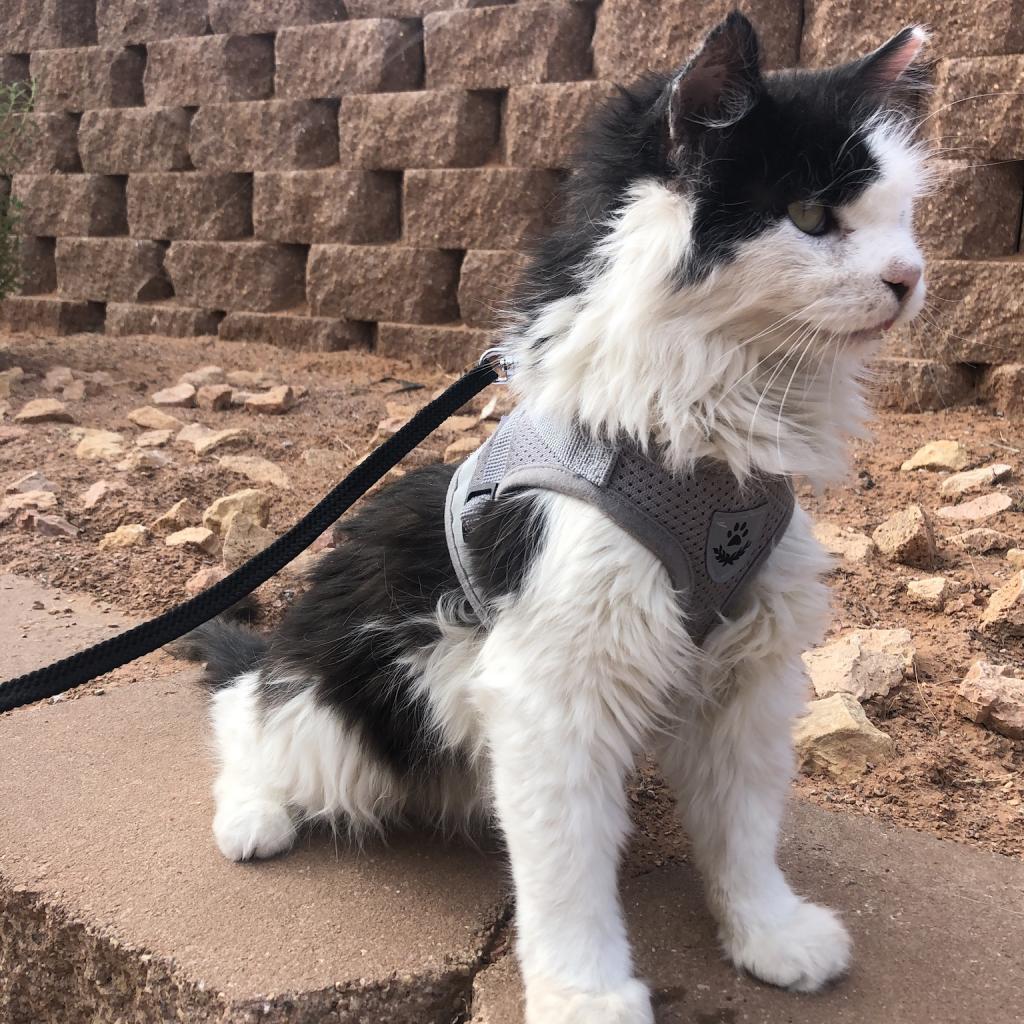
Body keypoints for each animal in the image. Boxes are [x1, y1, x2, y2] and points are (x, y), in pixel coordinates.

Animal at [176, 16, 929, 1024]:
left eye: (899, 215)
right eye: (811, 215)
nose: (909, 278)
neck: (699, 446)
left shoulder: (750, 679)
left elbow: (743, 829)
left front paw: (769, 935)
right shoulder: (553, 689)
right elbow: (568, 874)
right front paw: (587, 994)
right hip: (347, 720)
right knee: (245, 711)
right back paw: (252, 814)